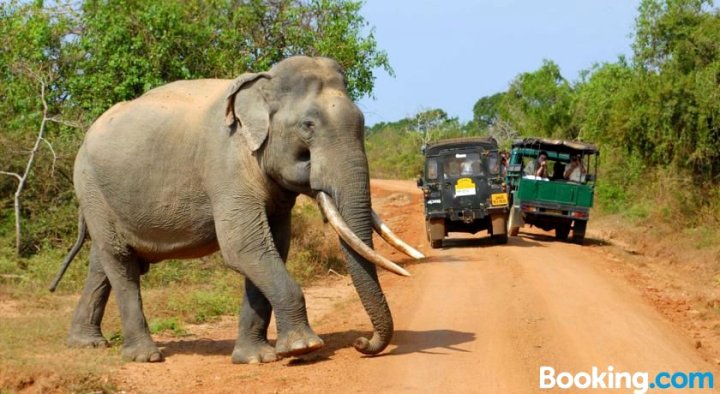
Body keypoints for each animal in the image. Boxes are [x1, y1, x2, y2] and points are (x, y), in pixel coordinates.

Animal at [49, 55, 422, 364]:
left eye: (362, 122)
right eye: (308, 126)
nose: (362, 343)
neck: (262, 84)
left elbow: (273, 247)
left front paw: (256, 358)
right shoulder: (226, 165)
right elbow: (244, 247)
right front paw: (304, 349)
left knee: (103, 261)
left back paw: (86, 343)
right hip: (91, 186)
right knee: (120, 261)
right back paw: (145, 356)